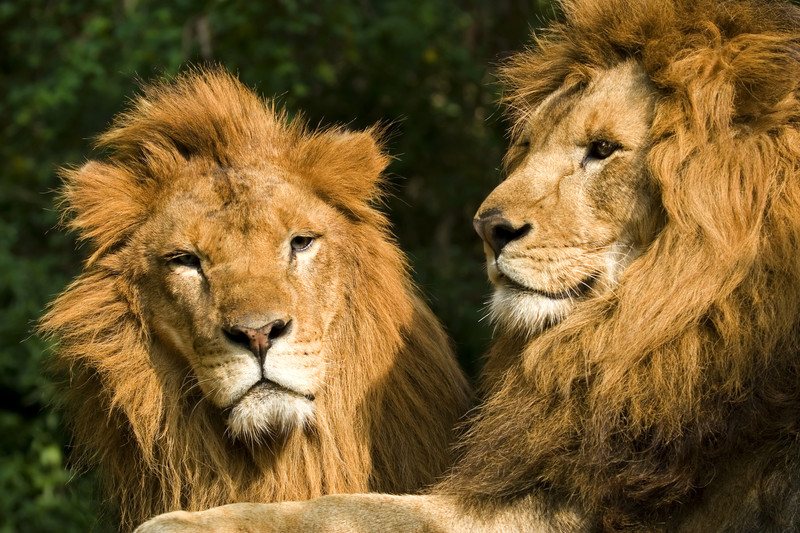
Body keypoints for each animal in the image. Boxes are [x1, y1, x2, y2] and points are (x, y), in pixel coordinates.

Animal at [139, 1, 800, 532]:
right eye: (528, 146)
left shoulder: (564, 506)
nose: (489, 229)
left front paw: (172, 521)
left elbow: (339, 509)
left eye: (603, 149)